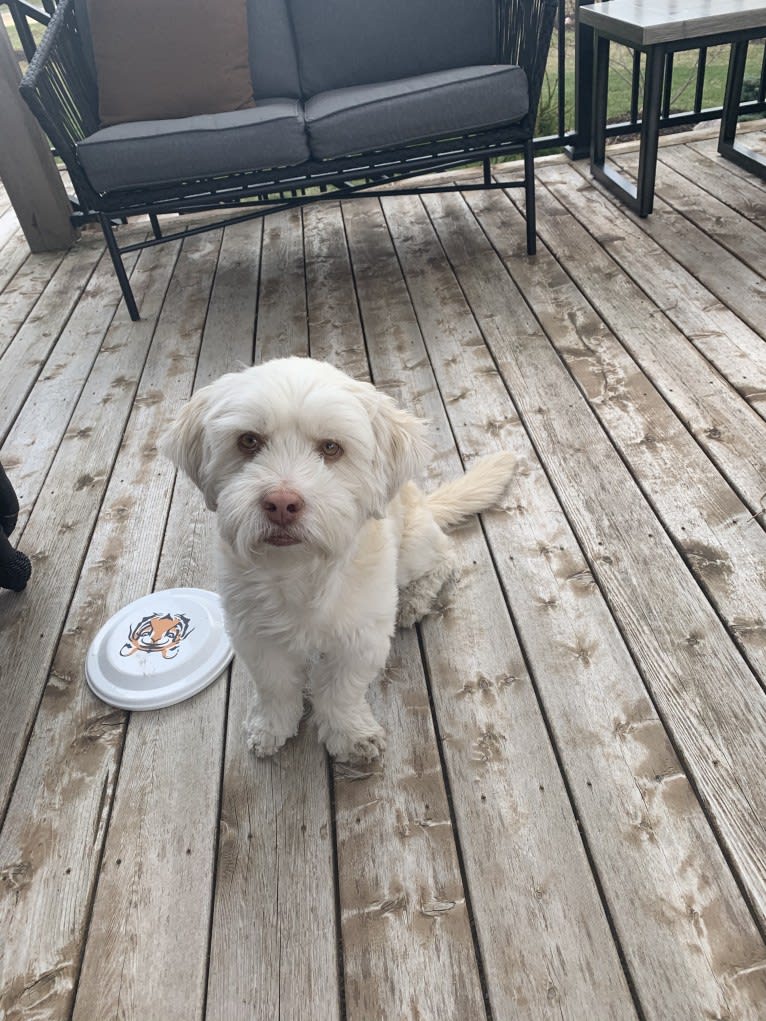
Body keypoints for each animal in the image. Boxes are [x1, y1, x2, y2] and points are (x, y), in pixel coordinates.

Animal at [167, 355, 516, 763]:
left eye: (331, 447)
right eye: (248, 440)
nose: (281, 504)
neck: (300, 570)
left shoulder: (361, 639)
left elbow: (340, 692)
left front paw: (351, 735)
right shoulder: (254, 634)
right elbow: (275, 686)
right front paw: (270, 727)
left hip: (413, 548)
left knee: (445, 558)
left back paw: (414, 601)